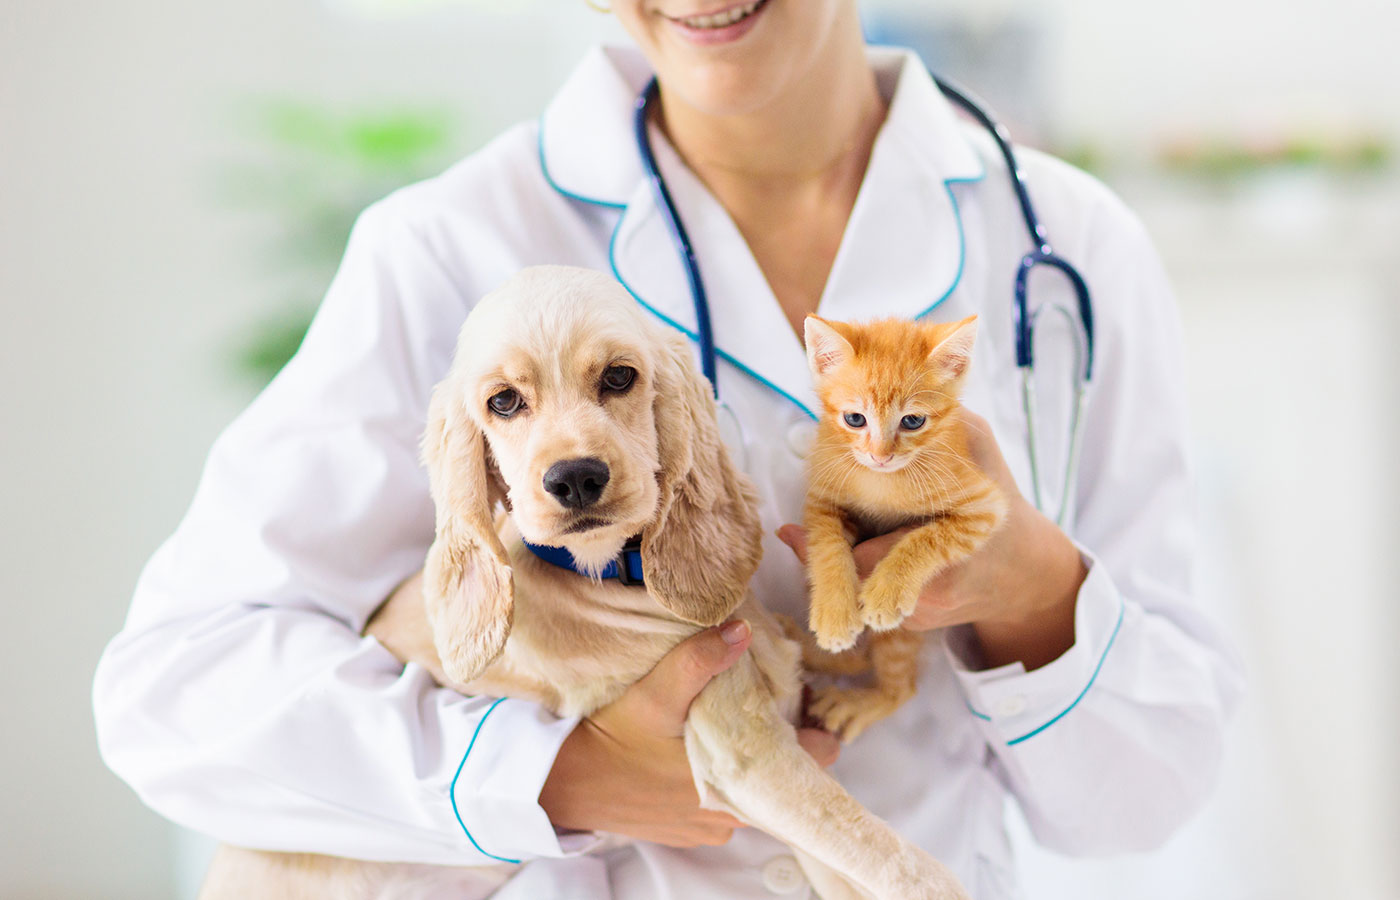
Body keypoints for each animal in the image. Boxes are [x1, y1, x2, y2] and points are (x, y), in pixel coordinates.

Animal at [800, 313, 1008, 744]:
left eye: (912, 421)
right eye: (854, 418)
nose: (881, 456)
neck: (882, 482)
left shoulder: (985, 506)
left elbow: (929, 537)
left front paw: (887, 591)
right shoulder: (821, 498)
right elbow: (826, 546)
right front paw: (834, 612)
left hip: (902, 636)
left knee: (901, 686)